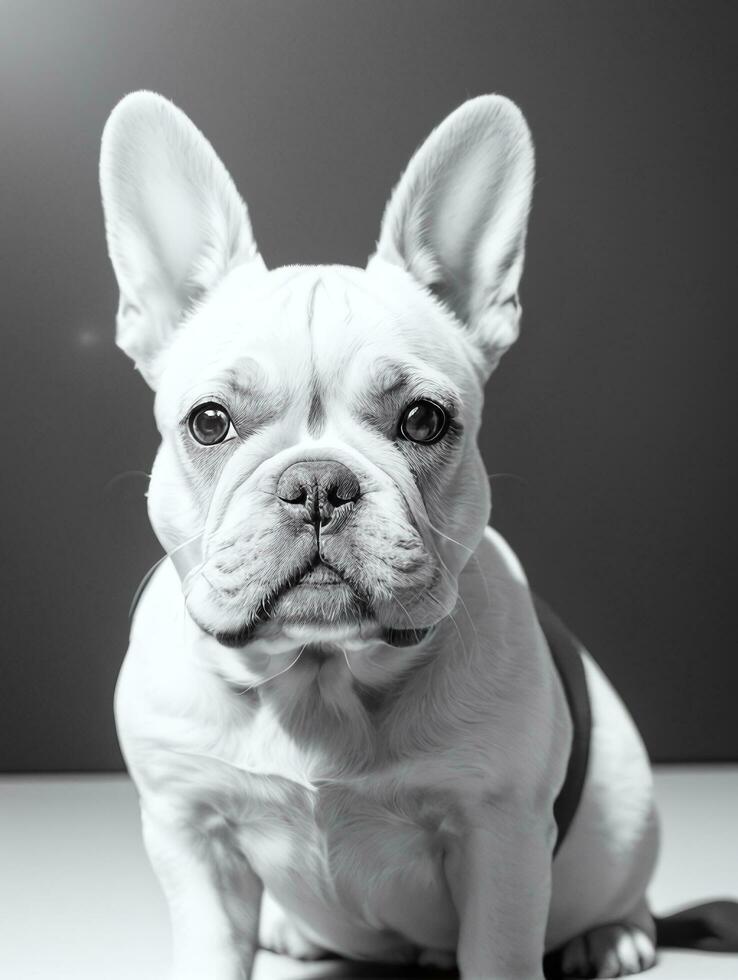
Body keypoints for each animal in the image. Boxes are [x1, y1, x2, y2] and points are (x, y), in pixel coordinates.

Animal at [100, 92, 732, 980]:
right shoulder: (192, 834)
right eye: (210, 422)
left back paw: (611, 936)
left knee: (619, 887)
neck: (320, 680)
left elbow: (500, 952)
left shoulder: (500, 838)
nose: (317, 484)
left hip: (621, 819)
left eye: (423, 420)